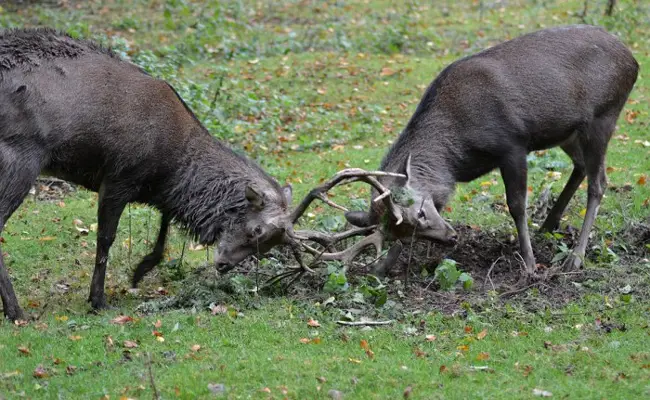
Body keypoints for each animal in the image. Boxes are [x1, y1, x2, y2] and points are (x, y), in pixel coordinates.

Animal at [0, 28, 294, 320]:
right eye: (257, 231)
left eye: (270, 244)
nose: (223, 265)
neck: (173, 166)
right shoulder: (118, 178)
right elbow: (106, 240)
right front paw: (98, 299)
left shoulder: (157, 191)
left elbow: (163, 229)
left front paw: (140, 271)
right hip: (21, 155)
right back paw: (16, 312)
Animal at [298, 25, 636, 282]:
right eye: (408, 235)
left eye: (421, 213)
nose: (450, 237)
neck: (458, 154)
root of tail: (632, 60)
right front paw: (381, 268)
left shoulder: (512, 144)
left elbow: (516, 205)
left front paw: (529, 265)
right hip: (568, 131)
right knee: (581, 166)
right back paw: (549, 224)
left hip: (604, 116)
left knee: (599, 183)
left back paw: (574, 258)